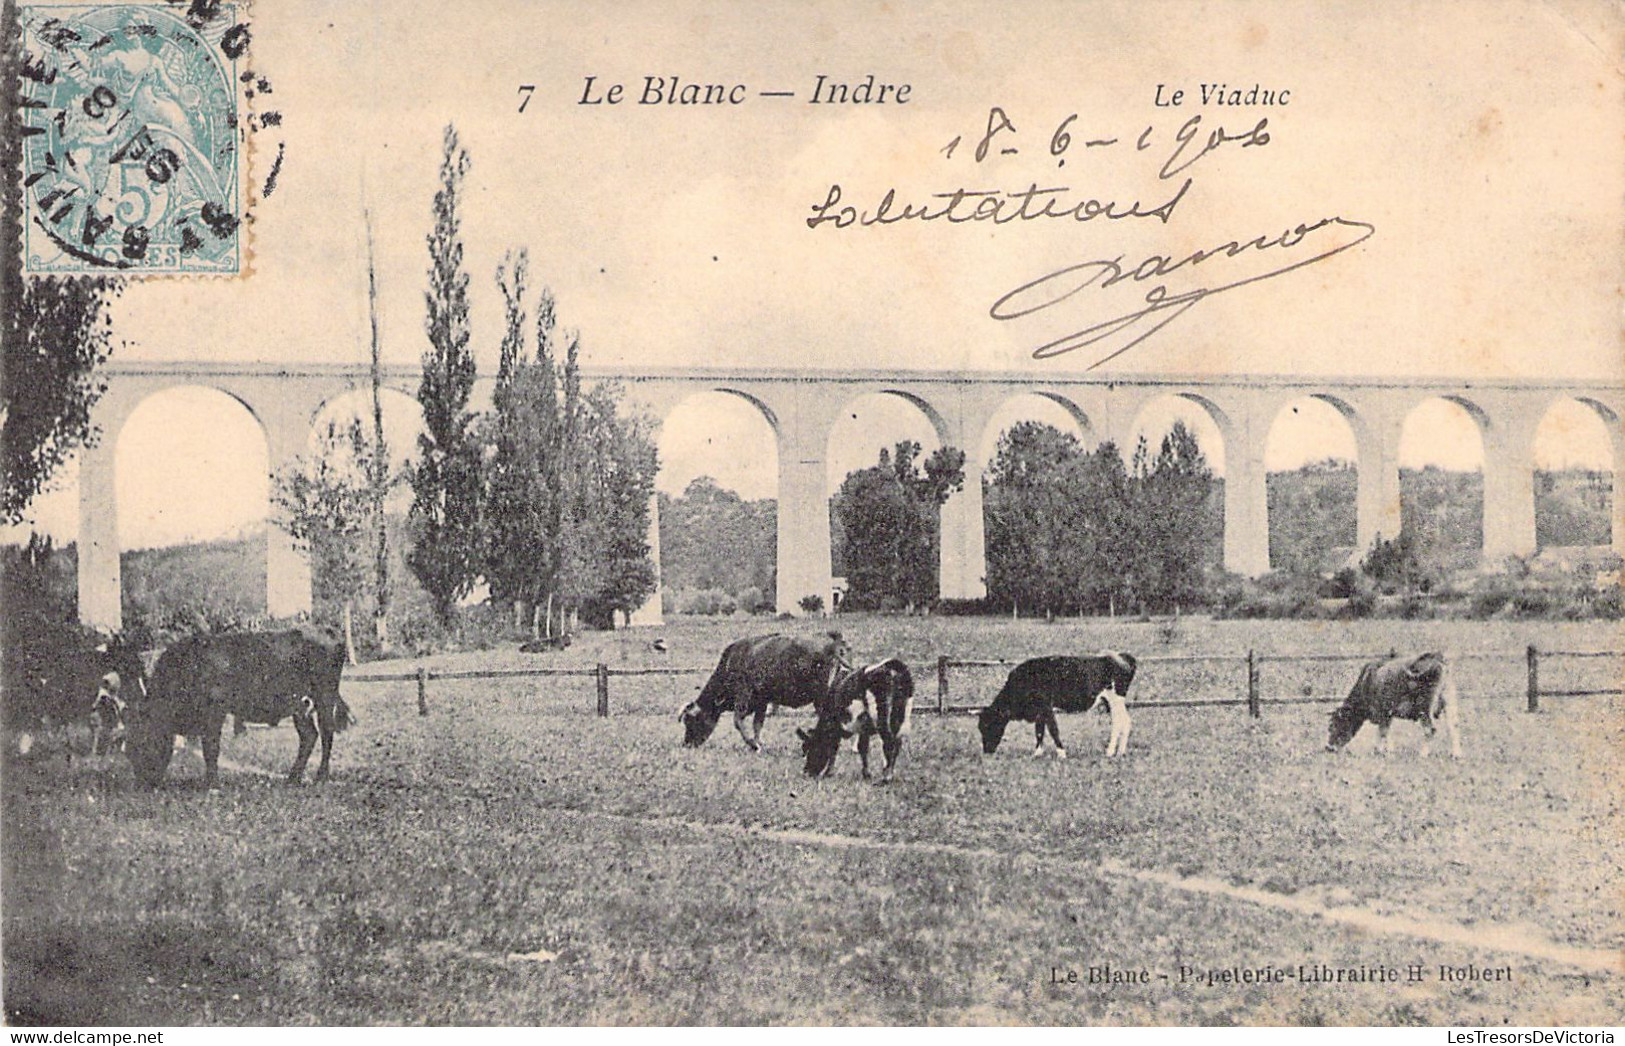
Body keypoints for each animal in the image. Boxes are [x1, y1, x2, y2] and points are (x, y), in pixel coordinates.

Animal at [126, 623, 352, 789]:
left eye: (142, 742)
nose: (142, 783)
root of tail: (329, 631)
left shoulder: (215, 711)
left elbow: (211, 747)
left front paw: (211, 783)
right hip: (300, 705)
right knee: (309, 736)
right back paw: (292, 778)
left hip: (324, 696)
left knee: (326, 732)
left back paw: (320, 777)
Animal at [679, 630, 851, 750]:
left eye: (692, 720)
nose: (687, 743)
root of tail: (833, 640)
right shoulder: (762, 701)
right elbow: (758, 723)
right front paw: (759, 743)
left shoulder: (743, 696)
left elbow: (738, 721)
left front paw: (753, 744)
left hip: (820, 697)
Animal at [975, 649, 1144, 756]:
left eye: (988, 725)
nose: (986, 751)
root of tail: (1120, 656)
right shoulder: (1040, 711)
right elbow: (1039, 730)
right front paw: (1037, 753)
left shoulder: (1045, 706)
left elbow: (1052, 729)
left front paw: (1062, 753)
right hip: (1111, 701)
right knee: (1124, 722)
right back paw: (1120, 752)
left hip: (1115, 699)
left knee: (1120, 722)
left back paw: (1110, 752)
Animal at [1326, 649, 1469, 756]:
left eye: (1334, 725)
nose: (1329, 748)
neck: (1368, 681)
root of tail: (1436, 657)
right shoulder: (1387, 714)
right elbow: (1384, 732)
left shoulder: (1383, 711)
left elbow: (1383, 732)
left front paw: (1381, 751)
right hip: (1449, 701)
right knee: (1453, 726)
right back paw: (1456, 754)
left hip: (1425, 707)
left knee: (1430, 730)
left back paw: (1423, 754)